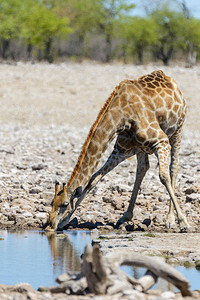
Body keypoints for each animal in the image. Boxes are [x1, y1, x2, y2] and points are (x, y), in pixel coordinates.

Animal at [45, 70, 191, 232]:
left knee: (173, 168)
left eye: (64, 204)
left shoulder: (161, 140)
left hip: (177, 130)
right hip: (141, 148)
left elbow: (164, 176)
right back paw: (125, 217)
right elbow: (94, 178)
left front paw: (183, 222)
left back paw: (170, 220)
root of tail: (168, 77)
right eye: (51, 202)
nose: (50, 225)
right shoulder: (121, 150)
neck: (121, 118)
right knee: (142, 169)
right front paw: (65, 221)